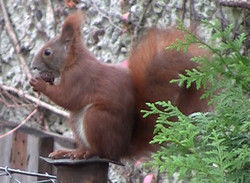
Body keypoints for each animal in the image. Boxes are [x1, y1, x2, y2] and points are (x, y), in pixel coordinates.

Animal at [30, 11, 208, 160]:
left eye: (47, 52)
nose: (33, 66)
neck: (73, 61)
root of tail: (121, 150)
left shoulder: (79, 78)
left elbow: (67, 98)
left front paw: (39, 84)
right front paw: (45, 79)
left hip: (96, 118)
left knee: (100, 151)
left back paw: (86, 152)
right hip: (76, 119)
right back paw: (70, 152)